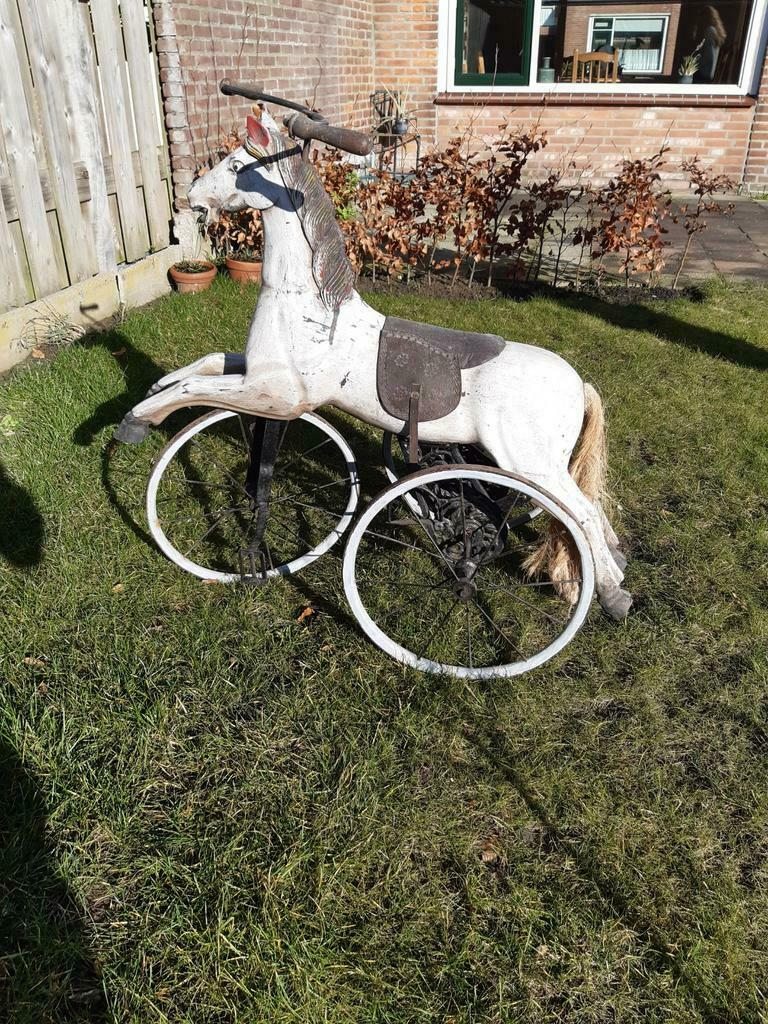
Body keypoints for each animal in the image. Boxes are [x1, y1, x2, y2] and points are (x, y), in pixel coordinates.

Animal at [116, 107, 631, 620]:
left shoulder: (282, 397)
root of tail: (579, 385)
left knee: (583, 514)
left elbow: (196, 393)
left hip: (529, 462)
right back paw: (613, 565)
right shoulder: (261, 374)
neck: (314, 307)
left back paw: (612, 593)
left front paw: (136, 421)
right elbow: (206, 364)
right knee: (590, 510)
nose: (192, 196)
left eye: (236, 164)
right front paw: (152, 389)